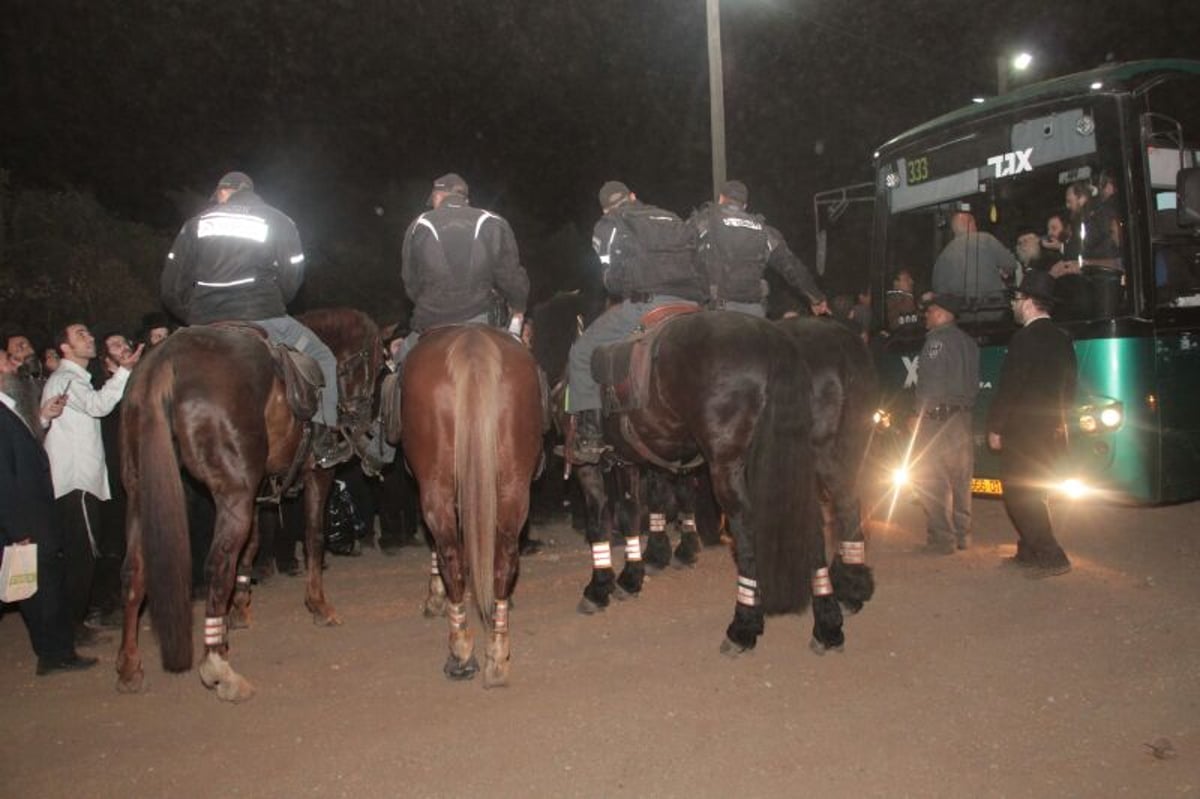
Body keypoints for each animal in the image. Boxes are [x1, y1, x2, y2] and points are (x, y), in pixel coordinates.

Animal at [114, 307, 379, 700]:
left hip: (141, 494)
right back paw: (217, 664)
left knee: (134, 571)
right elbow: (313, 537)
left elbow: (252, 546)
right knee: (216, 564)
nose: (362, 418)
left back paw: (130, 666)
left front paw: (239, 608)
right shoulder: (316, 475)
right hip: (231, 494)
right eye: (374, 362)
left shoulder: (256, 489)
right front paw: (318, 604)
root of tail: (166, 359)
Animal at [400, 323, 542, 686]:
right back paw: (497, 650)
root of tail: (472, 341)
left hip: (435, 487)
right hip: (513, 486)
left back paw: (461, 651)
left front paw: (435, 597)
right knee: (504, 555)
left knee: (450, 553)